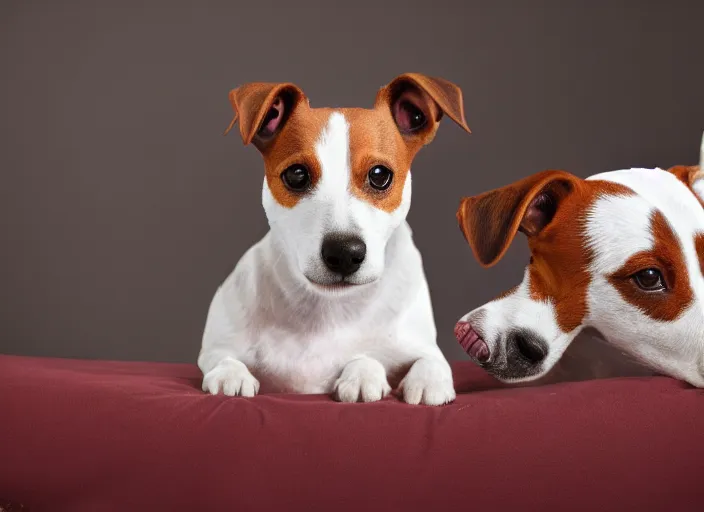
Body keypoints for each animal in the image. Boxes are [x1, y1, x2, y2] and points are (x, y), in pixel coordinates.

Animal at [198, 74, 470, 406]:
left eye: (379, 175)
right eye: (296, 174)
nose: (344, 253)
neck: (330, 308)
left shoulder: (421, 346)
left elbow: (429, 360)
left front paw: (374, 374)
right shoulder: (215, 348)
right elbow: (223, 357)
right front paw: (230, 374)